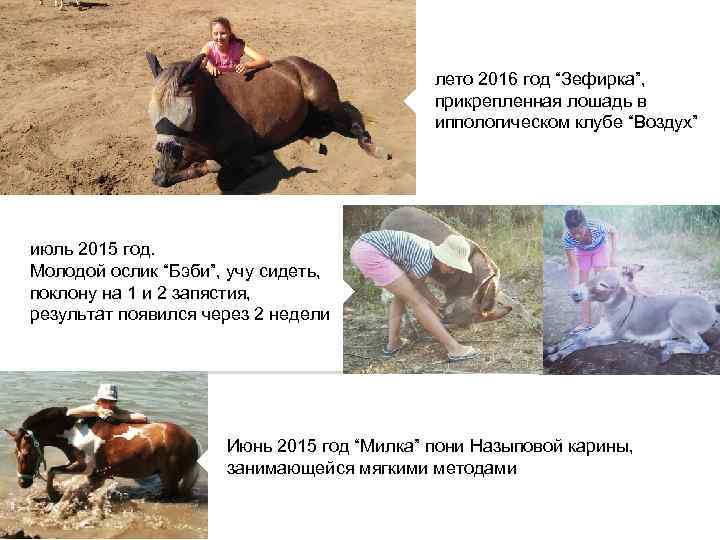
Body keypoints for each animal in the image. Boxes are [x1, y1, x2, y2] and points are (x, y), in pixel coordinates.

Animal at [4, 407, 199, 502]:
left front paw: (53, 495)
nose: (23, 483)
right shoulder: (94, 472)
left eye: (27, 453)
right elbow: (89, 485)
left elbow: (52, 470)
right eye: (15, 452)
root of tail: (191, 439)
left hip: (170, 477)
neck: (75, 432)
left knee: (171, 494)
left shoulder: (83, 466)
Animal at [145, 52, 391, 189]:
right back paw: (314, 142)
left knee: (353, 124)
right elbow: (161, 178)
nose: (167, 151)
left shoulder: (243, 149)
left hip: (326, 104)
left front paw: (258, 162)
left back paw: (375, 148)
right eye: (151, 109)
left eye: (186, 109)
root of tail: (304, 64)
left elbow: (228, 175)